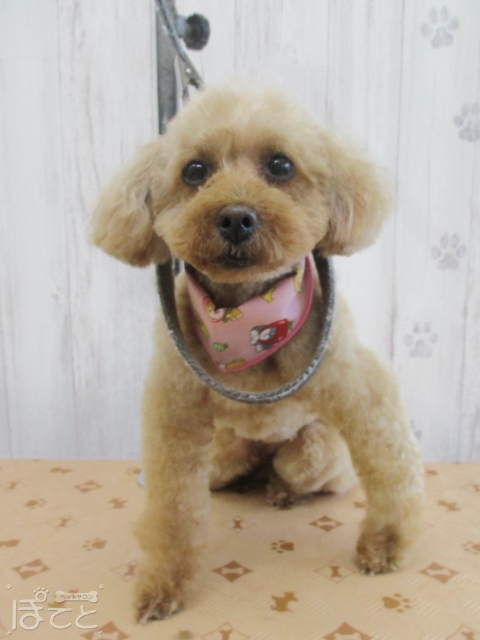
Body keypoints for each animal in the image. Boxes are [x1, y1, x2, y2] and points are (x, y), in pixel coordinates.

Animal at [91, 82, 424, 623]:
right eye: (195, 170)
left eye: (280, 165)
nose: (235, 217)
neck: (249, 316)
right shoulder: (173, 413)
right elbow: (173, 508)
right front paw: (163, 584)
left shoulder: (362, 389)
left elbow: (392, 465)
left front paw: (387, 545)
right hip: (222, 456)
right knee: (224, 475)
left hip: (317, 453)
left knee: (302, 469)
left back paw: (282, 490)